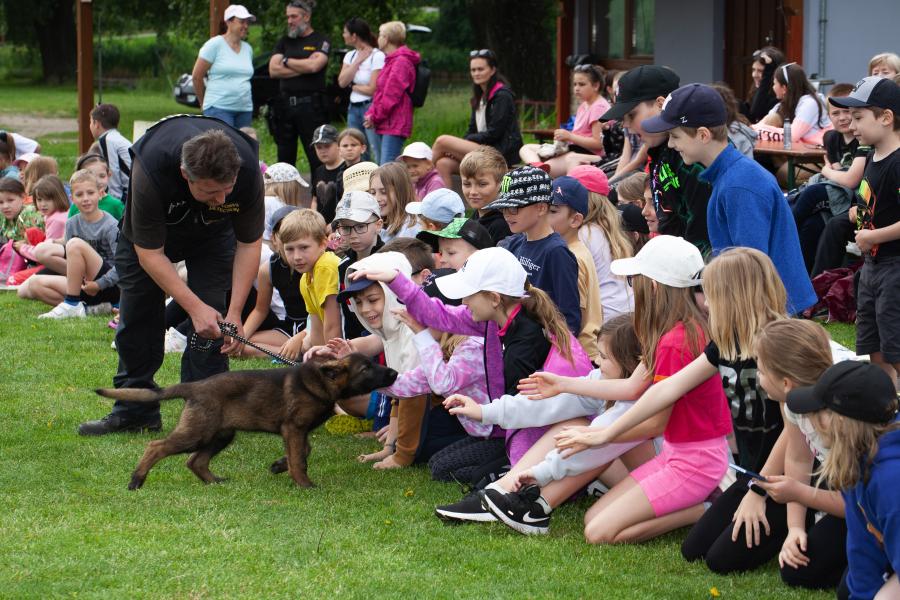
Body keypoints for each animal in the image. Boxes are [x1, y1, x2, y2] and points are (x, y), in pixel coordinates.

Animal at [95, 354, 398, 490]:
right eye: (366, 368)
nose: (394, 373)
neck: (323, 382)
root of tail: (195, 386)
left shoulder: (297, 431)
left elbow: (303, 452)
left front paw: (279, 465)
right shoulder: (294, 428)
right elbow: (300, 458)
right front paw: (303, 483)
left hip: (220, 434)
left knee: (195, 461)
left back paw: (214, 481)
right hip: (198, 432)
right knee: (156, 446)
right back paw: (137, 479)